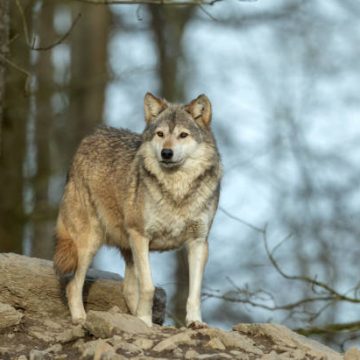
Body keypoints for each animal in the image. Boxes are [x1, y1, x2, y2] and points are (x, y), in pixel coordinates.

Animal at [53, 93, 222, 330]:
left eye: (183, 135)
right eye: (160, 134)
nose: (166, 153)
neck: (176, 192)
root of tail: (90, 137)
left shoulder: (198, 241)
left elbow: (194, 292)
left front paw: (195, 321)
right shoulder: (141, 236)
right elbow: (148, 287)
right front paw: (144, 320)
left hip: (127, 249)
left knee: (127, 289)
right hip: (89, 243)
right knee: (73, 285)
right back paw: (81, 318)